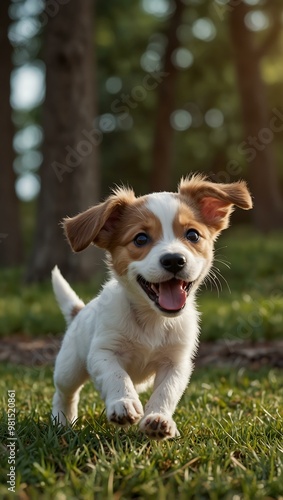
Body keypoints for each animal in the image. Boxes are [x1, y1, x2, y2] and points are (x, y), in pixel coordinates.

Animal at [51, 174, 253, 440]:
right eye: (140, 239)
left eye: (192, 235)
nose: (174, 260)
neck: (153, 319)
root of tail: (79, 312)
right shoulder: (103, 352)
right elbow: (116, 376)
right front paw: (123, 403)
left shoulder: (176, 363)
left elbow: (166, 392)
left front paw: (158, 418)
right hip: (69, 366)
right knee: (64, 393)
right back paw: (62, 421)